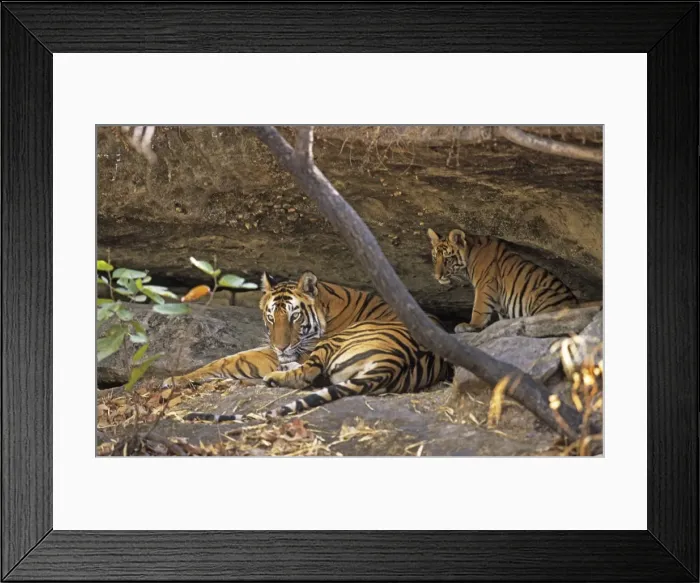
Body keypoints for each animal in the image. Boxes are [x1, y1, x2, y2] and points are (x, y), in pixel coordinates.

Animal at [165, 270, 401, 388]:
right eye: (271, 317)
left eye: (294, 316)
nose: (281, 347)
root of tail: (391, 365)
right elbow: (225, 360)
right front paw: (177, 379)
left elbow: (235, 361)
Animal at [184, 319, 454, 423]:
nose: (280, 344)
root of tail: (390, 363)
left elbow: (228, 360)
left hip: (334, 342)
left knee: (305, 374)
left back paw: (274, 377)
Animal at [427, 228, 580, 332]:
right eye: (435, 257)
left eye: (447, 259)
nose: (437, 276)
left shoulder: (485, 285)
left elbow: (479, 308)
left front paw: (470, 325)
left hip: (539, 293)